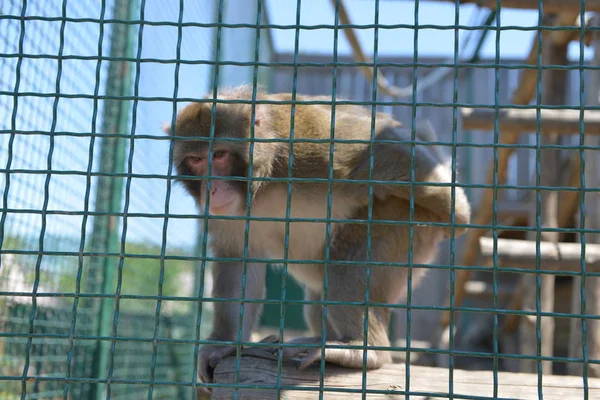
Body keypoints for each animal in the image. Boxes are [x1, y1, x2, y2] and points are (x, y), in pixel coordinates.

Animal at [166, 84, 472, 384]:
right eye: (196, 160)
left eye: (219, 155)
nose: (211, 188)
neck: (263, 181)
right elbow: (237, 259)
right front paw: (226, 344)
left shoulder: (313, 152)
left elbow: (385, 143)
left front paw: (457, 211)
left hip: (403, 222)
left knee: (345, 267)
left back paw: (366, 352)